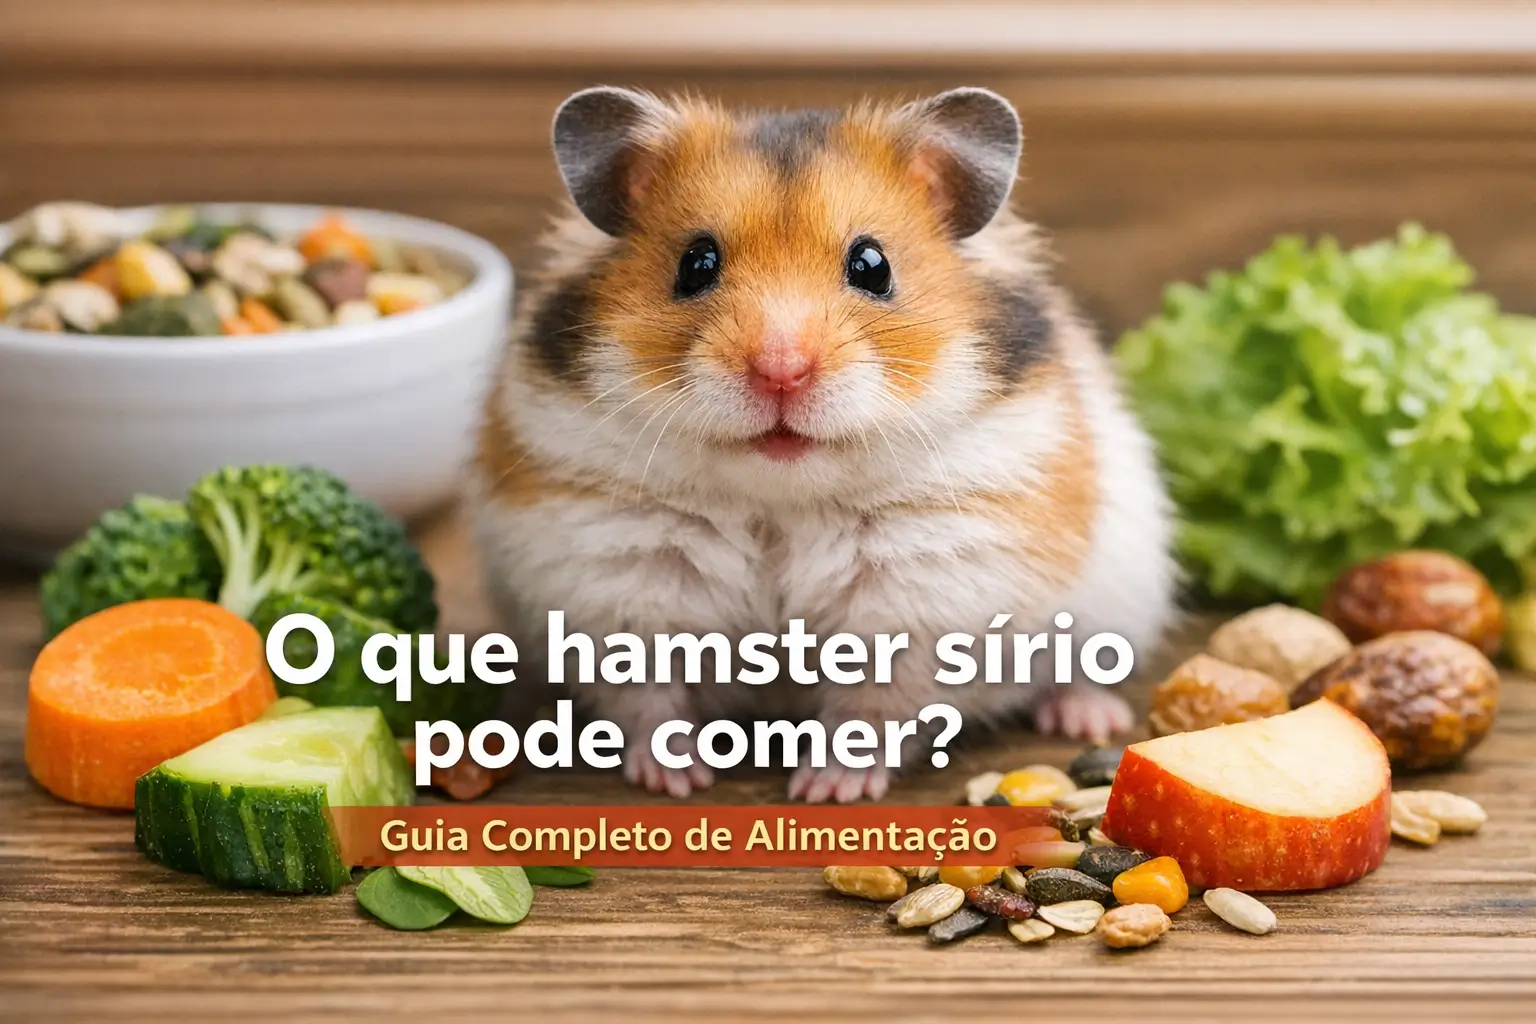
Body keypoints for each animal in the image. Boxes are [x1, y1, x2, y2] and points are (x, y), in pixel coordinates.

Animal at [469, 86, 1178, 803]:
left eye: (872, 266)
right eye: (695, 264)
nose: (781, 371)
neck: (778, 503)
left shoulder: (920, 594)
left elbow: (874, 706)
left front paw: (826, 789)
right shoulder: (617, 579)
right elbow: (648, 700)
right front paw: (675, 780)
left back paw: (1087, 717)